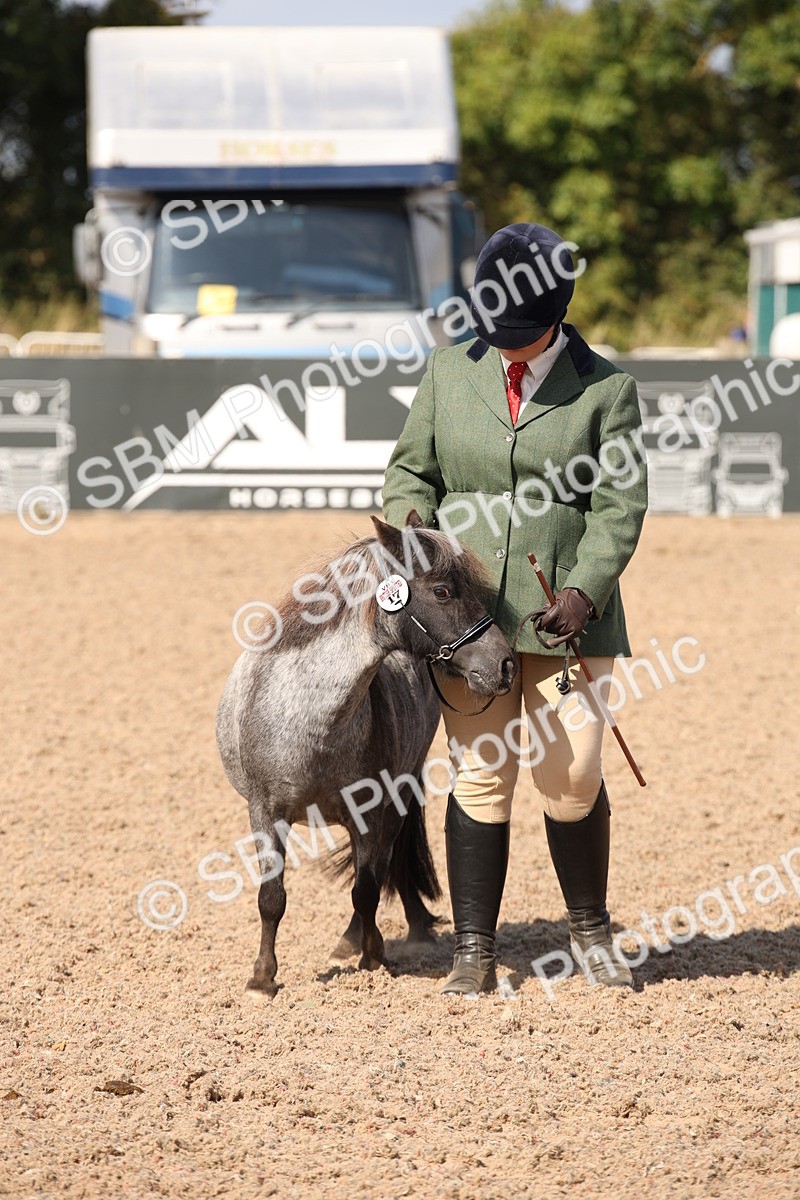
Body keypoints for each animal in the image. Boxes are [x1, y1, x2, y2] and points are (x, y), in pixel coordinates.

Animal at [215, 509, 516, 1000]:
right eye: (443, 591)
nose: (505, 664)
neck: (310, 719)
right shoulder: (265, 813)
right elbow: (271, 898)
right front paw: (262, 978)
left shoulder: (372, 813)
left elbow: (368, 889)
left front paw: (374, 957)